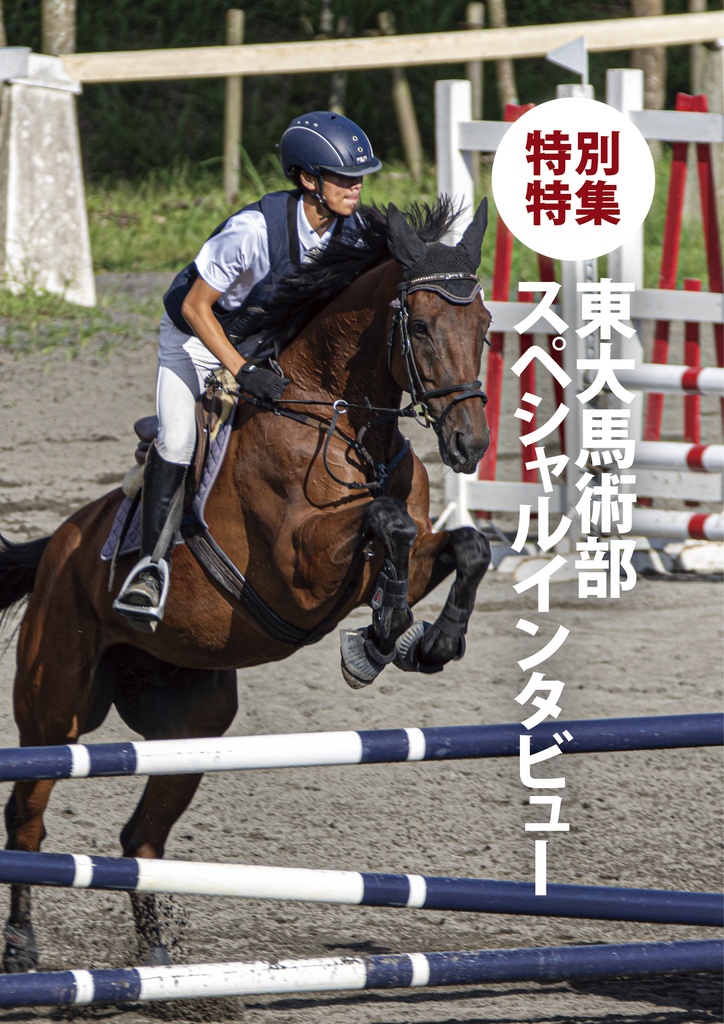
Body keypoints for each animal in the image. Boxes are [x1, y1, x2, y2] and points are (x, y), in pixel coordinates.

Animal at [0, 196, 492, 972]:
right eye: (417, 326)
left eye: (486, 325)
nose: (470, 444)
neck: (343, 424)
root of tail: (59, 544)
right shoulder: (300, 570)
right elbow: (385, 524)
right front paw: (379, 637)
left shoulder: (407, 557)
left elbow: (464, 545)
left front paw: (423, 641)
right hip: (56, 707)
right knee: (28, 816)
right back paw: (22, 948)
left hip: (193, 725)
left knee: (142, 837)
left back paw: (158, 957)